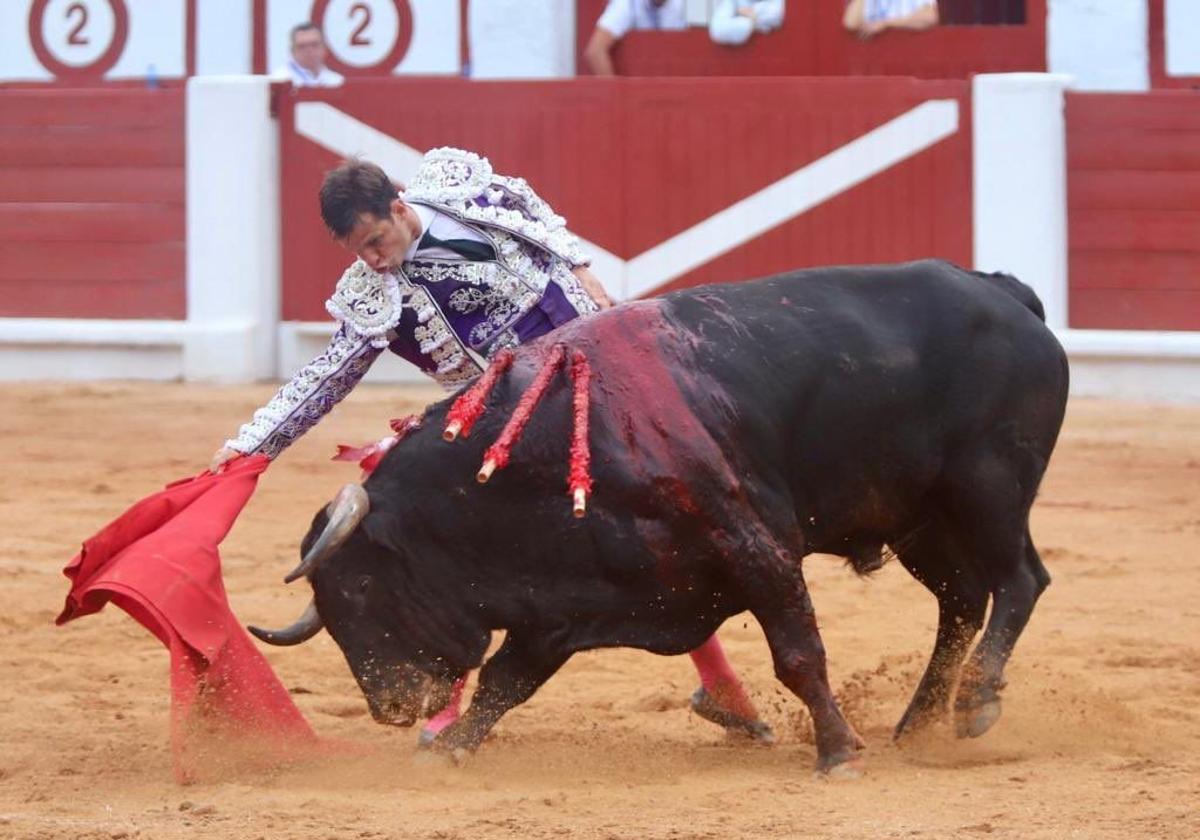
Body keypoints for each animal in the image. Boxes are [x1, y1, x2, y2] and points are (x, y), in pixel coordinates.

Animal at [250, 258, 1070, 772]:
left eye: (359, 587)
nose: (387, 706)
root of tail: (1004, 294)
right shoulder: (560, 600)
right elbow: (505, 684)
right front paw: (449, 753)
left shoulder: (756, 547)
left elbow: (799, 655)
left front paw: (837, 753)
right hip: (917, 519)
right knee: (963, 601)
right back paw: (918, 723)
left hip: (988, 487)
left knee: (1020, 581)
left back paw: (976, 702)